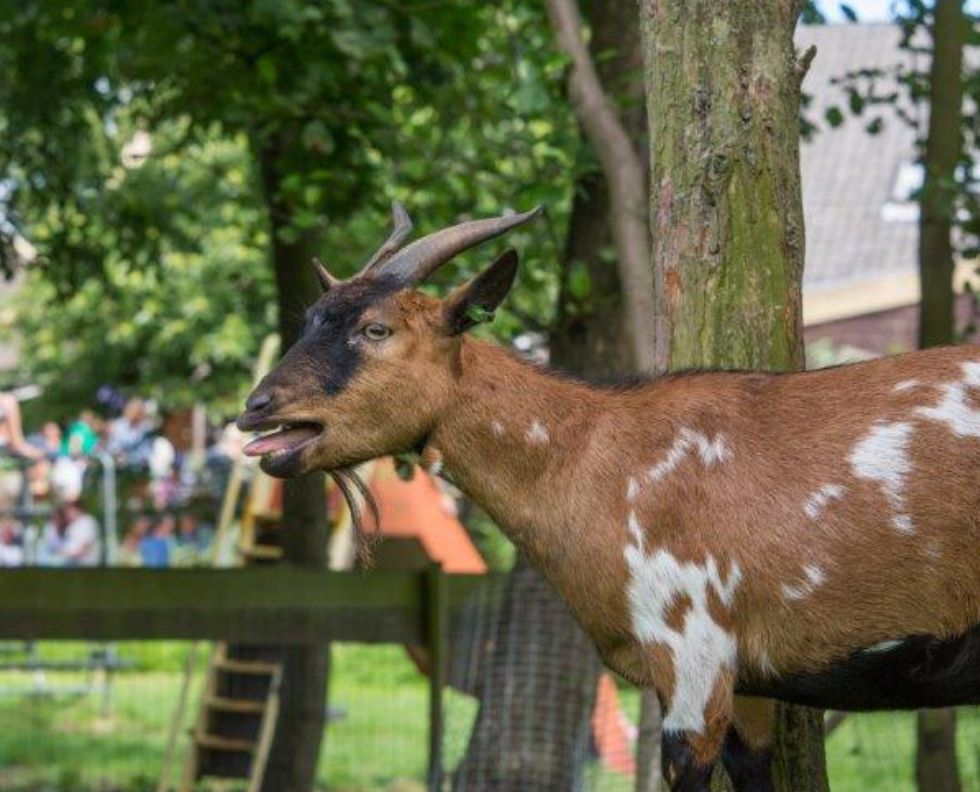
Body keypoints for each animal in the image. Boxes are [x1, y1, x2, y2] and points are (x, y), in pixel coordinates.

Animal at [237, 206, 980, 792]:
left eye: (377, 329)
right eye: (309, 319)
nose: (256, 408)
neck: (600, 456)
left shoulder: (690, 655)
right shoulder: (746, 683)